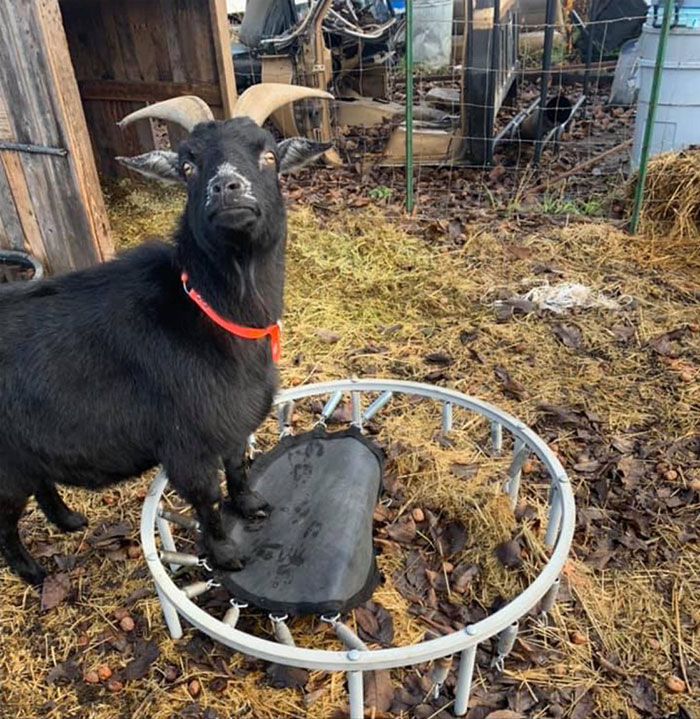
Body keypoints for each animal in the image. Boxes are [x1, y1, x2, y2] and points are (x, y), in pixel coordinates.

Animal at [0, 85, 332, 585]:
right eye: (188, 166)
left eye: (269, 154)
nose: (226, 187)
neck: (209, 313)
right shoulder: (187, 441)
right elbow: (207, 496)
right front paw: (226, 554)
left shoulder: (230, 422)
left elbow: (238, 468)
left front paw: (252, 505)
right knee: (4, 520)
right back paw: (33, 571)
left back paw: (69, 520)